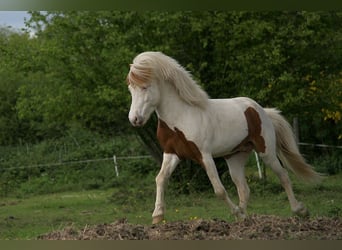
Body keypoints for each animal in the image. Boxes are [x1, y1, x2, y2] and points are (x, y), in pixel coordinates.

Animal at [125, 51, 320, 225]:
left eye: (144, 87)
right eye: (130, 89)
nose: (134, 119)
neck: (181, 117)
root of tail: (261, 110)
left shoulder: (204, 155)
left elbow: (219, 190)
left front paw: (236, 213)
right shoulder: (172, 153)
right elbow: (161, 179)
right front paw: (157, 216)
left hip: (266, 152)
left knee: (284, 176)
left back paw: (300, 210)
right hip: (235, 158)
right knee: (244, 189)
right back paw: (244, 219)